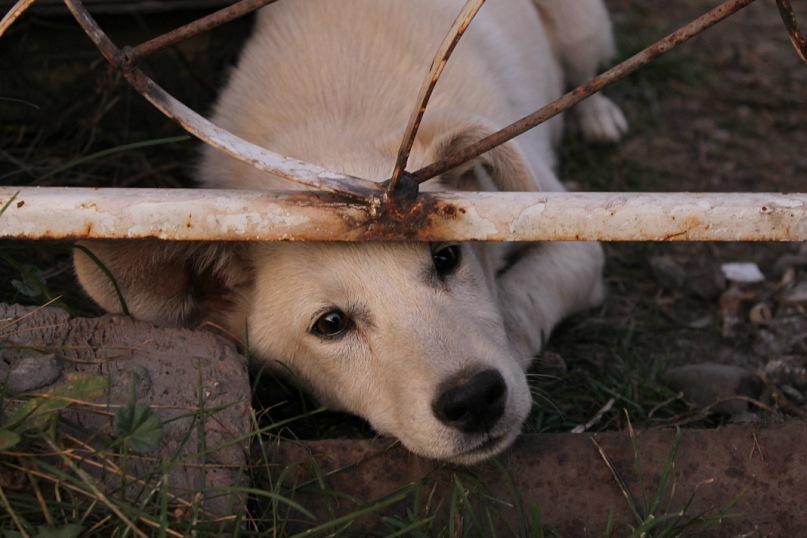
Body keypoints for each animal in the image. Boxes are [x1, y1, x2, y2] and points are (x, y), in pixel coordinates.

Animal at [74, 0, 624, 460]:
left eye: (447, 257)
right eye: (331, 325)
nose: (475, 399)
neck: (329, 139)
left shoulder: (574, 237)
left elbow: (518, 297)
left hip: (580, 27)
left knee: (586, 75)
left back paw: (598, 116)